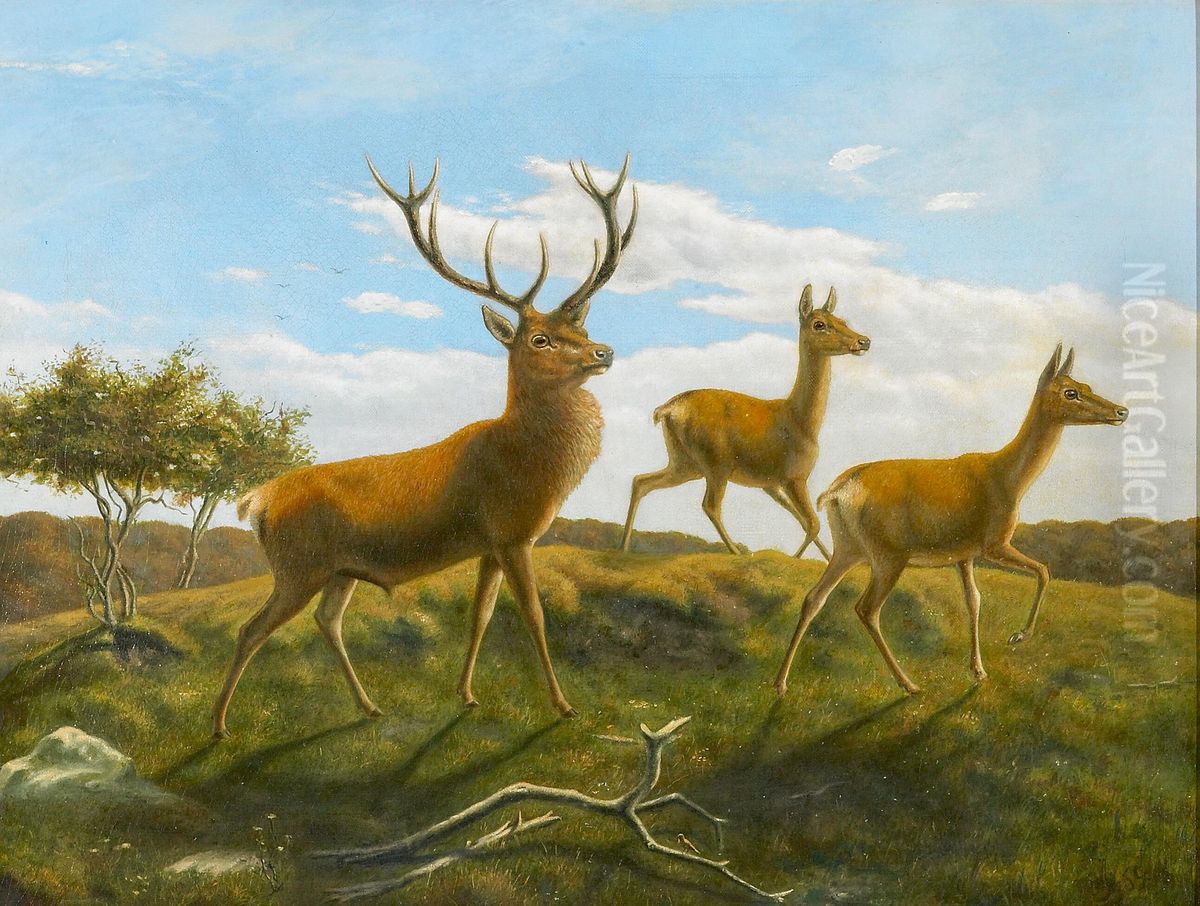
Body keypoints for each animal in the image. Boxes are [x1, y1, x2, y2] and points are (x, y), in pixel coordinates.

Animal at [211, 155, 637, 739]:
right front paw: (563, 704)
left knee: (327, 620)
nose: (605, 351)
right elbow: (534, 616)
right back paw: (219, 726)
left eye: (583, 328)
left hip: (339, 570)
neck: (531, 463)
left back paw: (368, 706)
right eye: (540, 339)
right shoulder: (512, 533)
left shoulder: (490, 544)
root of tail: (257, 500)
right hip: (298, 566)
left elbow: (481, 615)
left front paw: (467, 695)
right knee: (250, 630)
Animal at [619, 284, 870, 558]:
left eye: (843, 320)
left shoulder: (771, 484)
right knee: (709, 505)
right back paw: (736, 552)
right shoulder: (794, 477)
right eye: (819, 324)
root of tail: (665, 410)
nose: (863, 341)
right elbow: (813, 523)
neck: (801, 420)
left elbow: (804, 522)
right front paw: (795, 558)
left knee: (641, 481)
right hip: (715, 463)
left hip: (684, 463)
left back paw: (623, 547)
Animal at [773, 344, 1128, 698]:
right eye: (1071, 392)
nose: (1121, 411)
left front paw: (979, 671)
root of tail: (836, 492)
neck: (1007, 478)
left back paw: (781, 683)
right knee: (867, 608)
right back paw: (909, 684)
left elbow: (974, 600)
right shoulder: (994, 544)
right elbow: (1043, 570)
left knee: (814, 597)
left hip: (848, 548)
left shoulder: (964, 554)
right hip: (888, 555)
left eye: (1086, 386)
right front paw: (1017, 637)